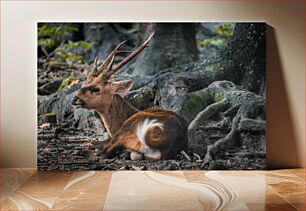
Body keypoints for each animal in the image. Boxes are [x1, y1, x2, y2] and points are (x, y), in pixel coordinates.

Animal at [71, 33, 189, 161]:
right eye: (83, 83)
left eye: (96, 89)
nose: (74, 99)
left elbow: (95, 144)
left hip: (128, 129)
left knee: (103, 153)